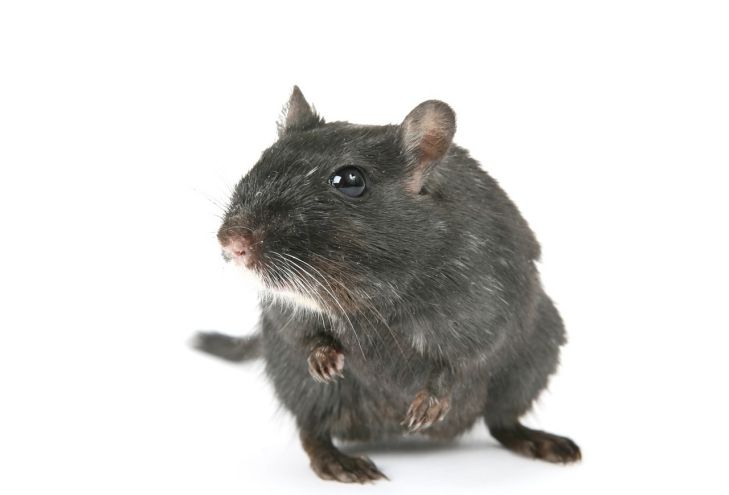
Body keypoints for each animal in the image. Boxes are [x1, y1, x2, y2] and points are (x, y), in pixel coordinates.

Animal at [194, 86, 581, 483]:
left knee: (502, 420)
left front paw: (427, 406)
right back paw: (339, 462)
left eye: (350, 181)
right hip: (297, 382)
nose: (231, 243)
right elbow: (300, 333)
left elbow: (465, 358)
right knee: (312, 429)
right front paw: (324, 358)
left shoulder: (487, 298)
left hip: (534, 358)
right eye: (262, 160)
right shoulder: (284, 309)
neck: (369, 296)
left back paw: (540, 441)